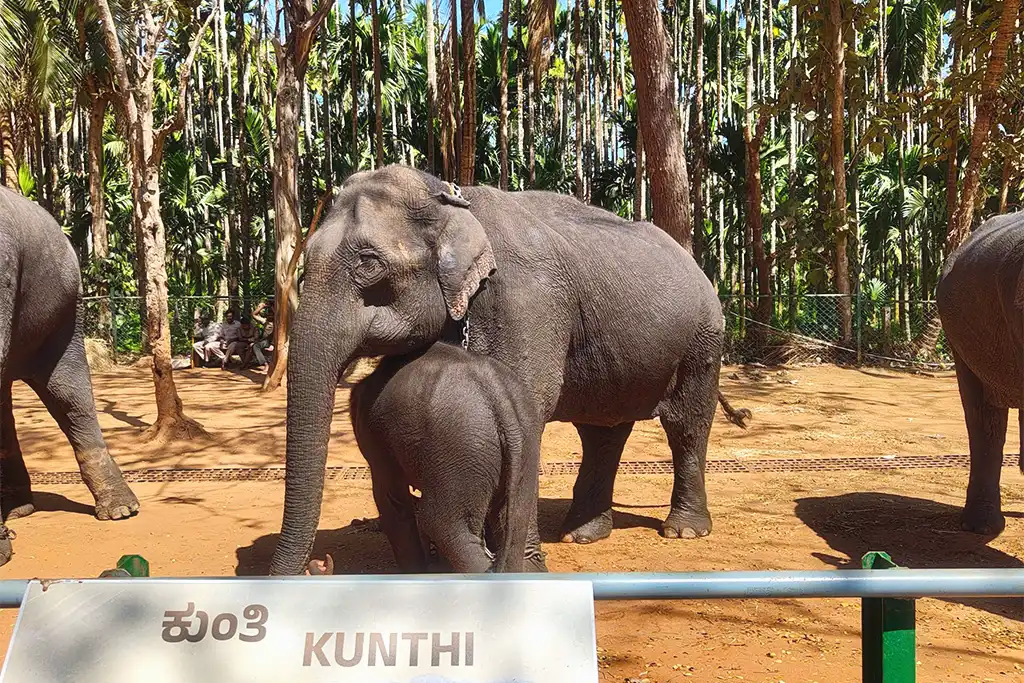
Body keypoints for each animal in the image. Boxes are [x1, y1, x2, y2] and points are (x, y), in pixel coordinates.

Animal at [350, 341, 542, 573]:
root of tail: (498, 395)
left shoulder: (377, 442)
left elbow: (393, 501)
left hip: (461, 448)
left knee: (442, 525)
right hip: (525, 443)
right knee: (514, 526)